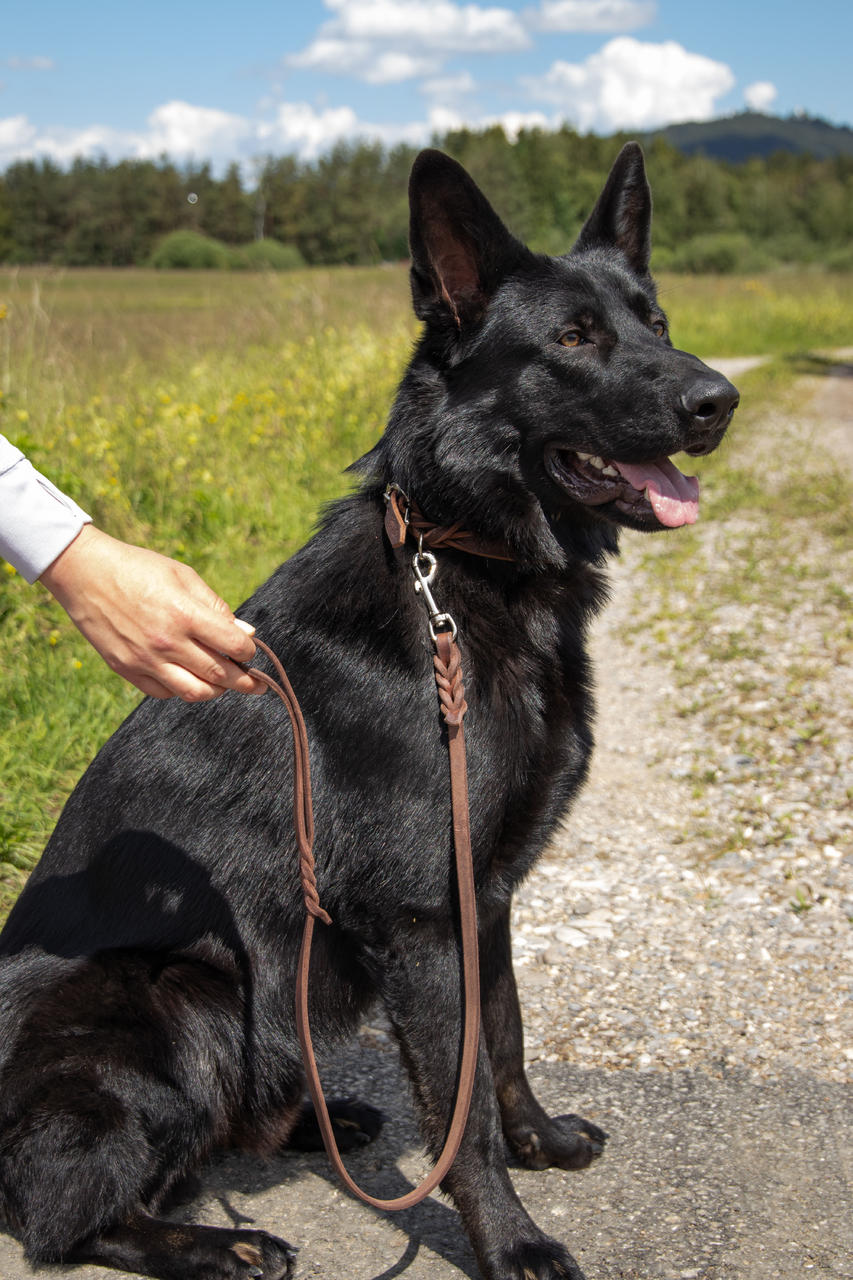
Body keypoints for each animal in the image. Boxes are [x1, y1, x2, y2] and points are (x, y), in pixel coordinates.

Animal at [0, 145, 732, 1280]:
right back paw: (223, 1242)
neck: (463, 570)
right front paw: (511, 1239)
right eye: (573, 339)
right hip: (186, 989)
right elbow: (461, 1108)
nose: (719, 399)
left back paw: (316, 1119)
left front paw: (540, 1138)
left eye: (654, 321)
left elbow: (504, 1037)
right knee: (64, 1213)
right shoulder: (425, 917)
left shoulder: (485, 896)